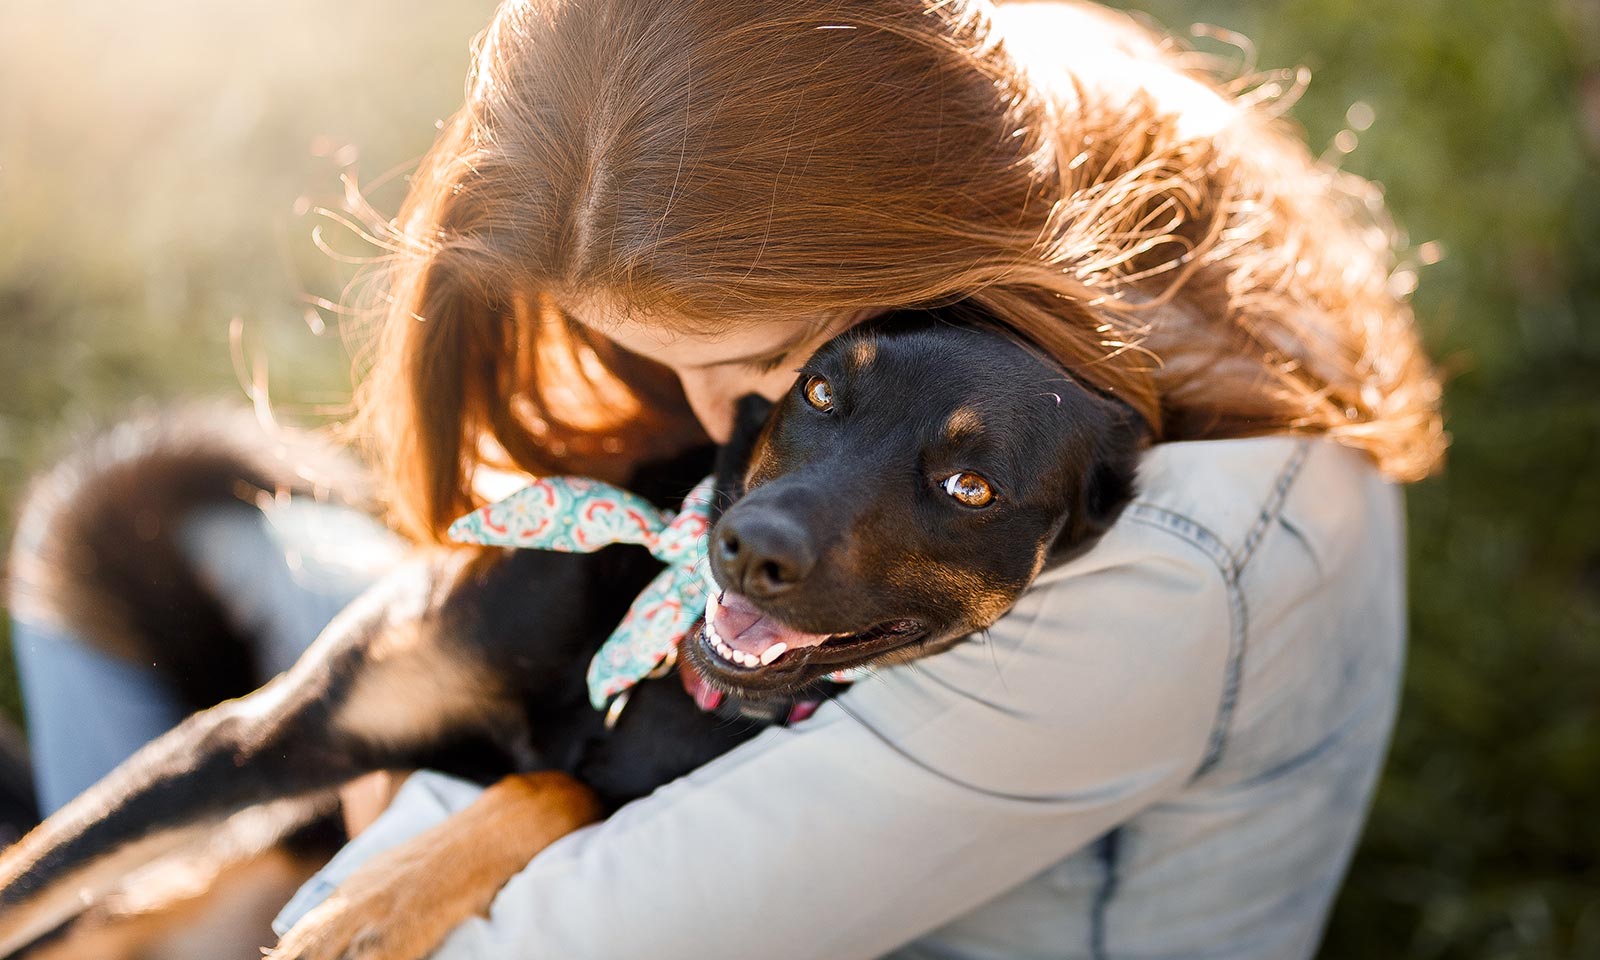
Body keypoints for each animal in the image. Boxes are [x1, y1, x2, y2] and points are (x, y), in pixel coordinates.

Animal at [0, 307, 1152, 960]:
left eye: (969, 486)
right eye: (823, 389)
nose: (747, 548)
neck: (647, 655)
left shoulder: (641, 806)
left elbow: (554, 786)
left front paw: (379, 904)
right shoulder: (262, 738)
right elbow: (32, 876)